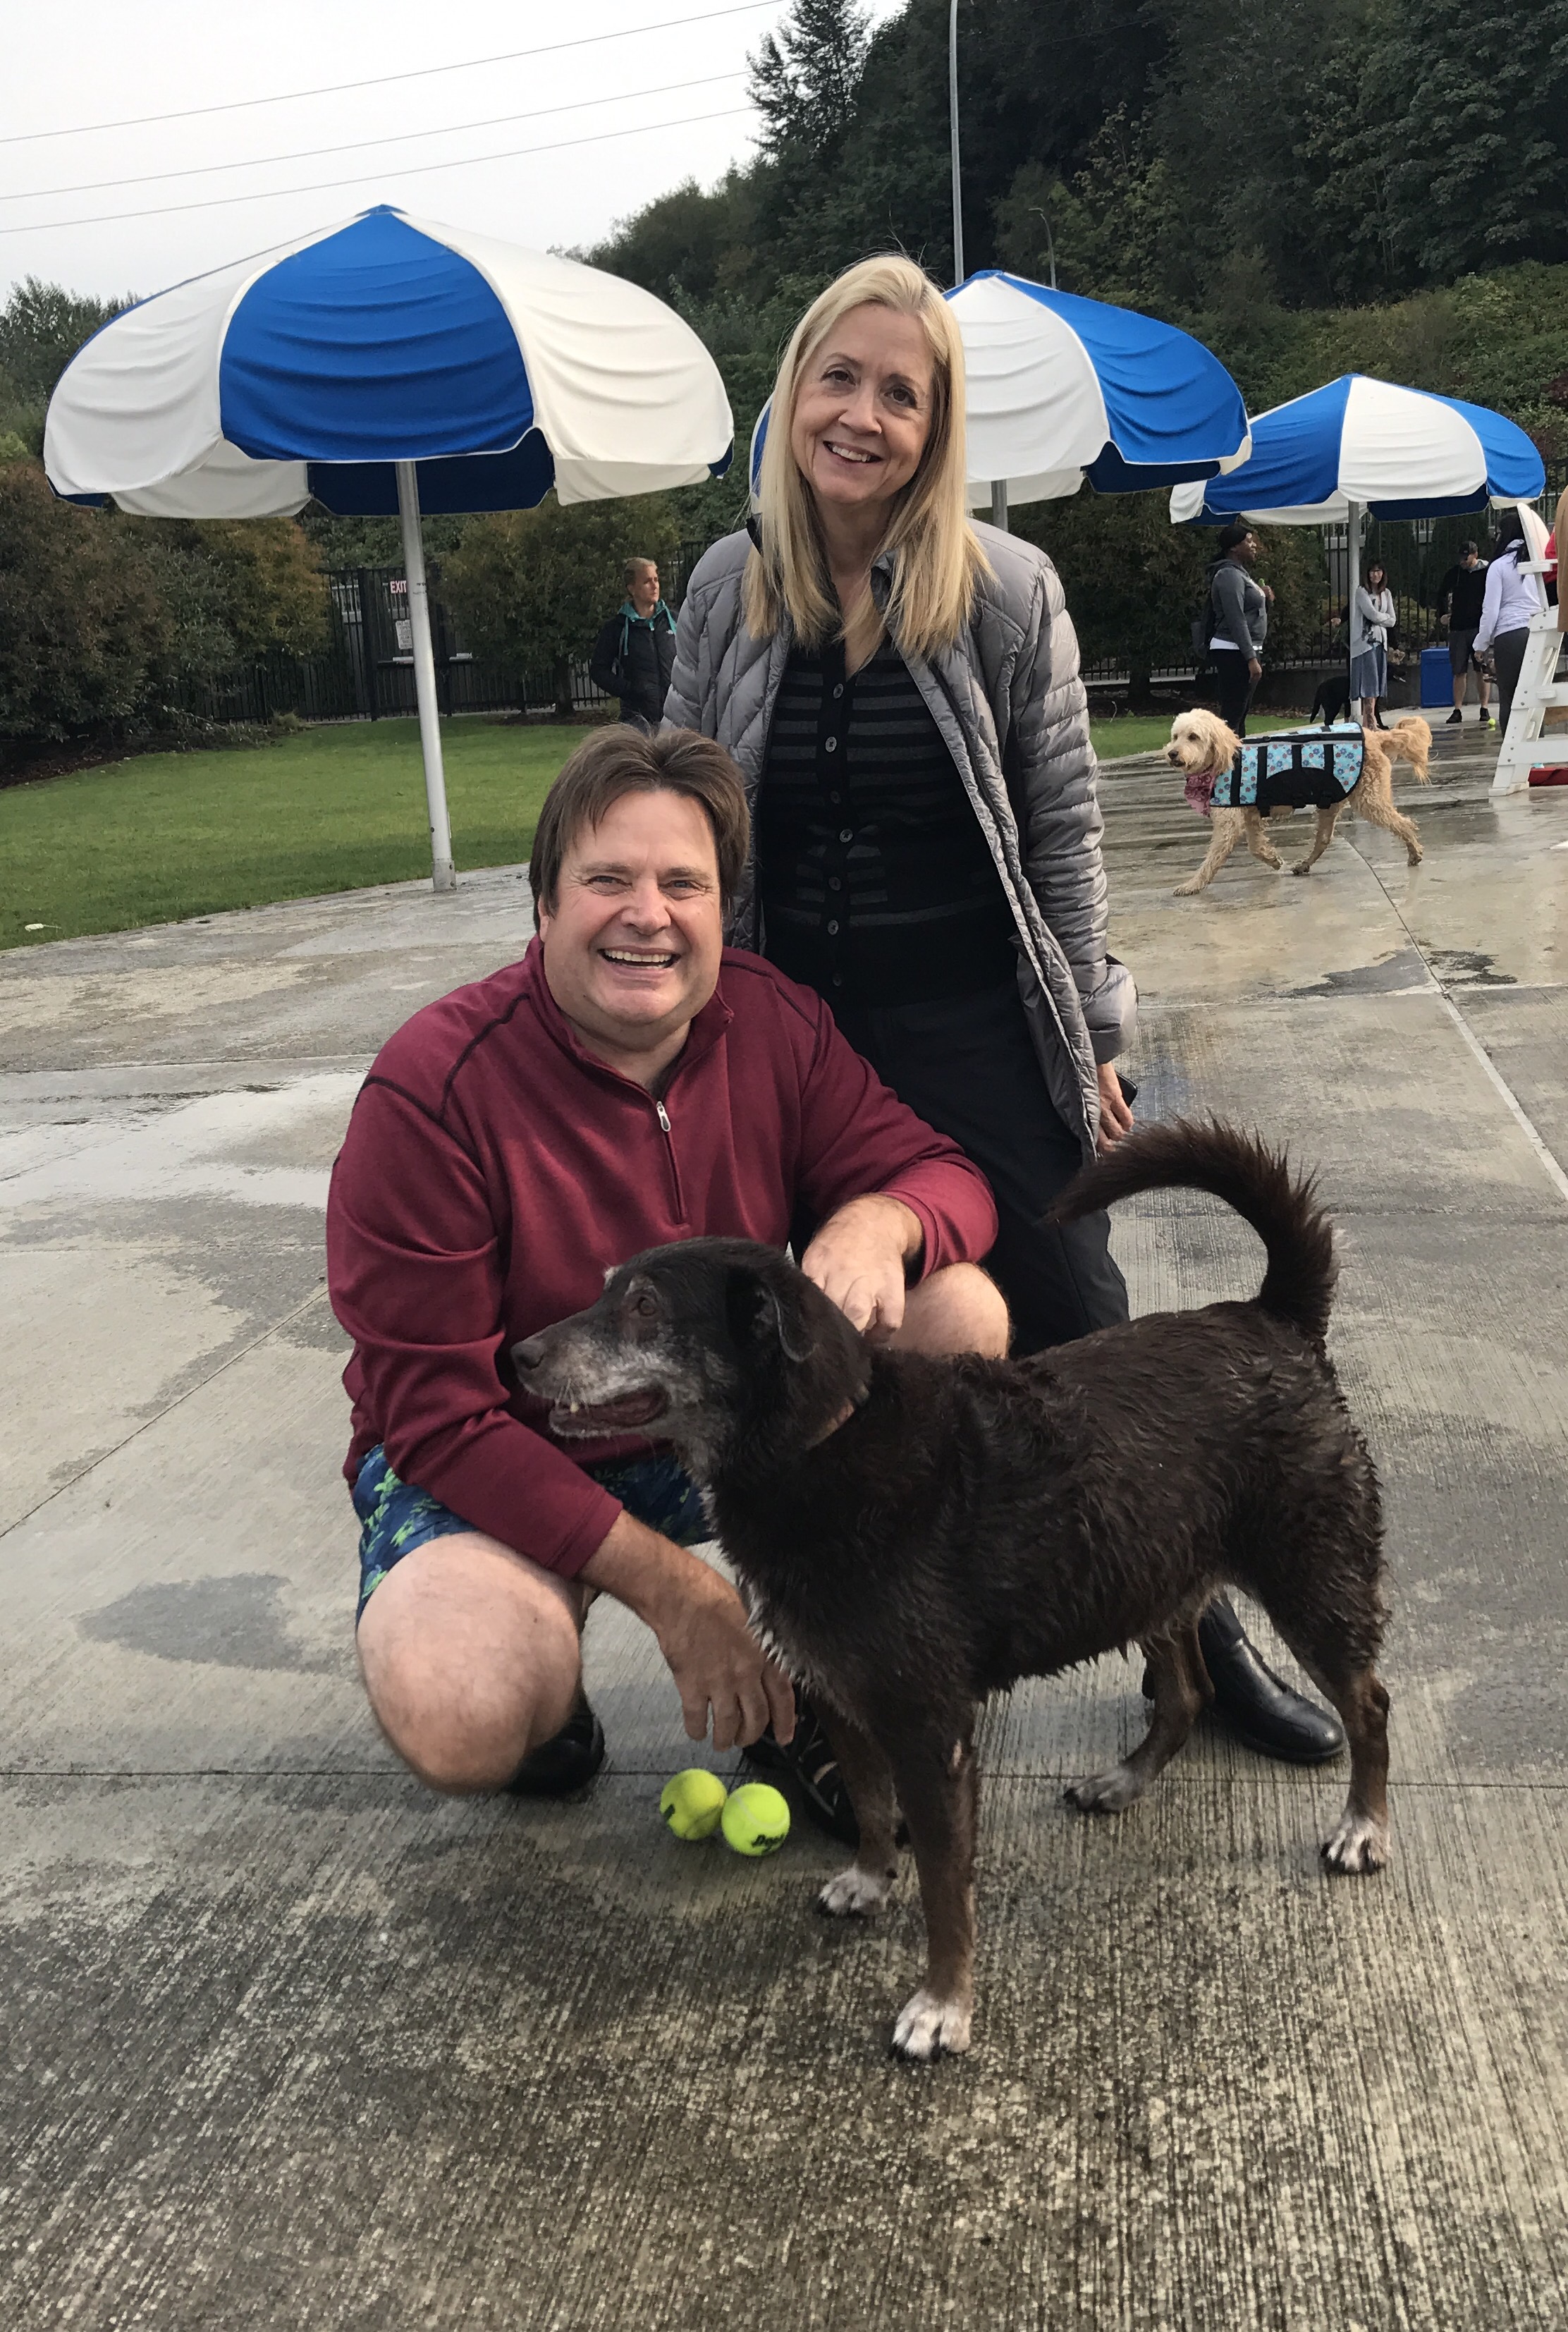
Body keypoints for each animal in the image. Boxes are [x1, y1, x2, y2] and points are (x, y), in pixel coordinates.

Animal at [514, 1120, 1391, 2065]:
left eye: (643, 1305)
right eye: (605, 1287)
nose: (517, 1354)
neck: (818, 1445)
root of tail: (1271, 1315)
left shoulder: (928, 1731)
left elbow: (943, 1886)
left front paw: (942, 2005)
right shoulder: (844, 1694)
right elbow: (869, 1806)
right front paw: (869, 1878)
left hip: (1310, 1576)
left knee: (1367, 1703)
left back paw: (1363, 1826)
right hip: (1144, 1570)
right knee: (1186, 1693)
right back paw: (1123, 1781)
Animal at [1166, 708, 1432, 893]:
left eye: (1193, 737)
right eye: (1175, 736)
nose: (1172, 753)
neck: (1224, 758)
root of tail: (1374, 737)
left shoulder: (1229, 823)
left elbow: (1212, 859)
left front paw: (1192, 885)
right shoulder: (1250, 815)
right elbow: (1255, 847)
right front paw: (1273, 860)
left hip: (1369, 798)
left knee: (1403, 823)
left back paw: (1414, 853)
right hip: (1330, 802)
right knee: (1324, 839)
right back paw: (1305, 864)